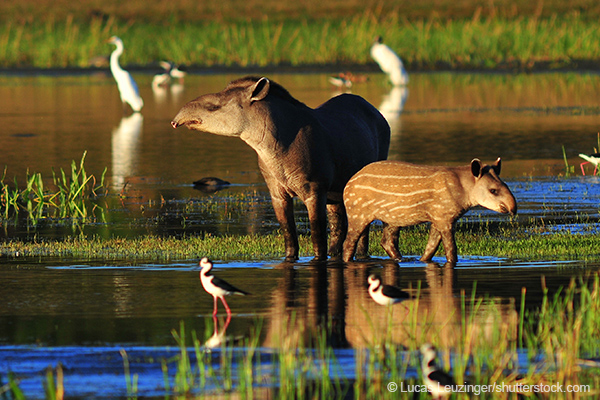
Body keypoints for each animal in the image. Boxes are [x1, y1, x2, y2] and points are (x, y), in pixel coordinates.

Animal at [342, 158, 516, 264]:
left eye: (506, 184)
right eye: (493, 191)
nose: (513, 208)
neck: (464, 188)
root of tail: (348, 183)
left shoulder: (439, 217)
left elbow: (431, 247)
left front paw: (422, 261)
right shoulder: (444, 216)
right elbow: (450, 248)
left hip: (391, 217)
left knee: (387, 241)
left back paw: (400, 259)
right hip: (358, 211)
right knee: (349, 242)